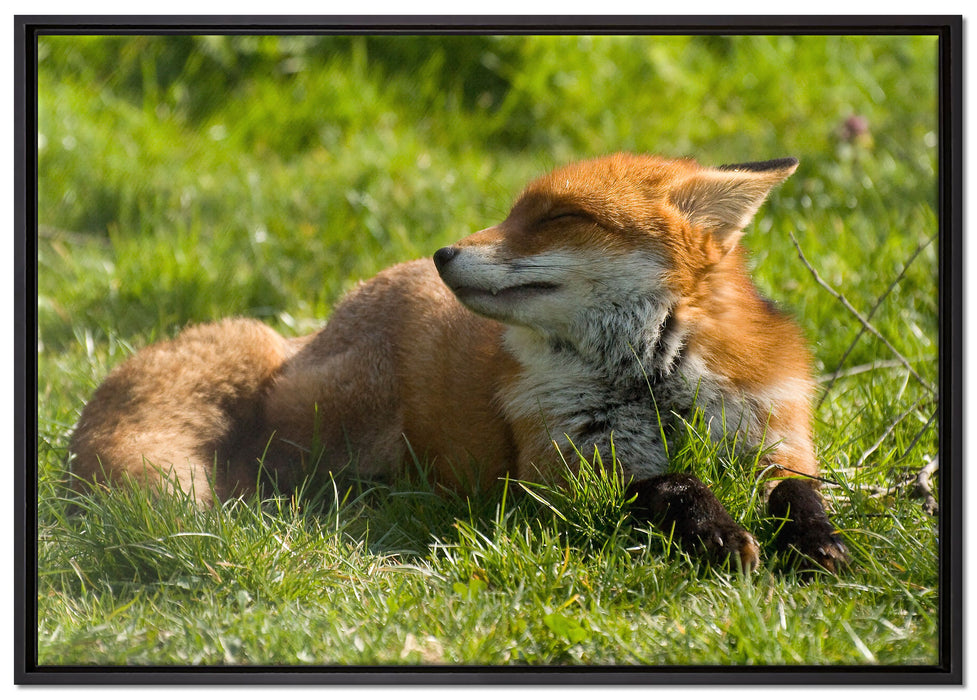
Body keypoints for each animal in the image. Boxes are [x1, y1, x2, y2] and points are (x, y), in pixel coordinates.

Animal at [69, 153, 848, 573]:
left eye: (557, 218)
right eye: (510, 213)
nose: (442, 252)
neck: (651, 386)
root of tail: (314, 329)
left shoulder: (773, 438)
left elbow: (797, 492)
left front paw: (817, 543)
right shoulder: (563, 477)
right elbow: (670, 484)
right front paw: (718, 534)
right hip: (339, 430)